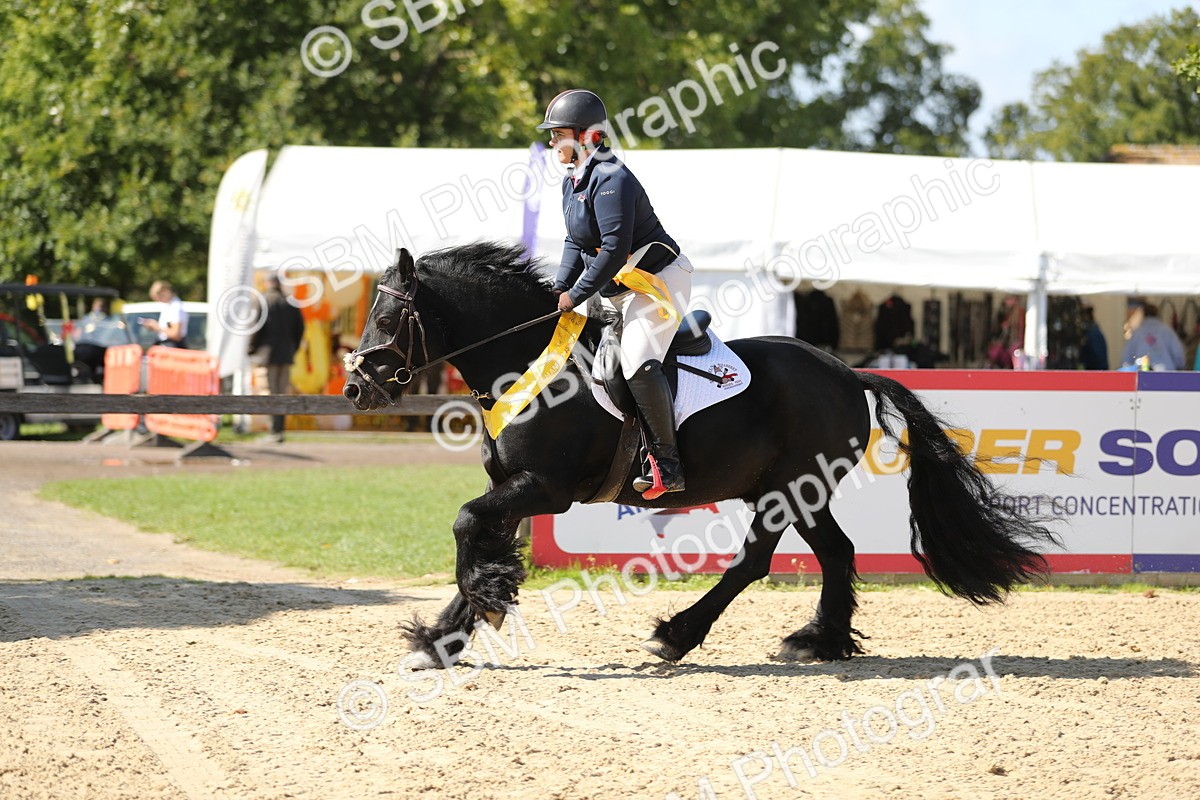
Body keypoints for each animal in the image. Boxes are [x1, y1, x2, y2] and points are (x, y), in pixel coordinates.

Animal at [343, 242, 1059, 667]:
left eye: (389, 315)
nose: (355, 388)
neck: (525, 363)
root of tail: (847, 372)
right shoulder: (513, 483)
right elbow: (480, 535)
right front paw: (444, 636)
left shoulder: (545, 486)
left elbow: (466, 521)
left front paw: (480, 606)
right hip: (795, 490)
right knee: (835, 552)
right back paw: (821, 640)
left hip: (788, 489)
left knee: (754, 561)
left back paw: (678, 635)